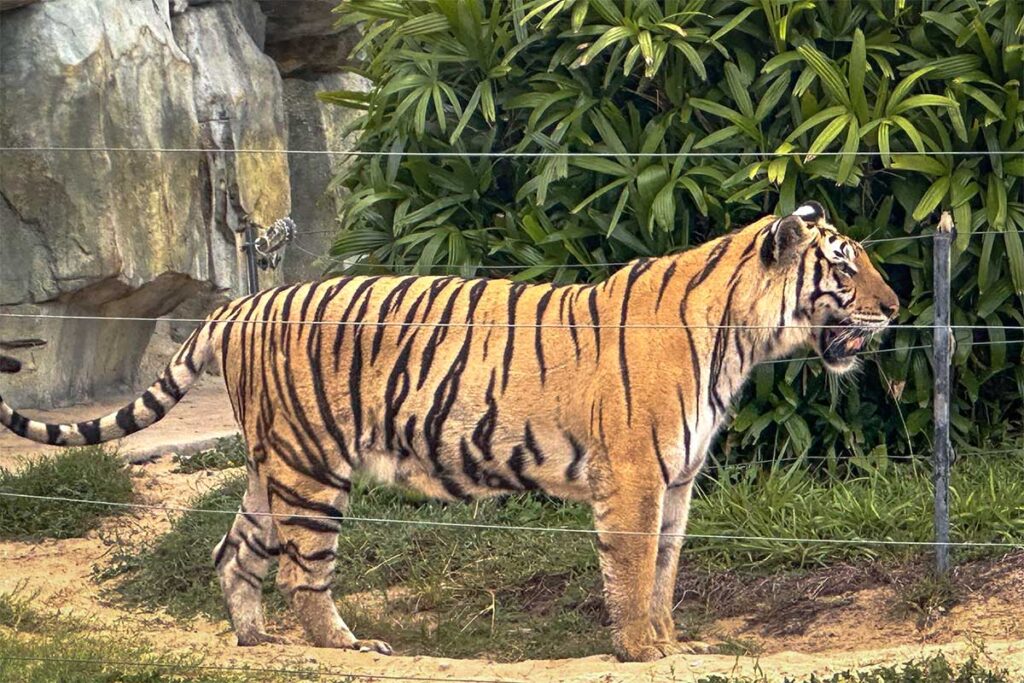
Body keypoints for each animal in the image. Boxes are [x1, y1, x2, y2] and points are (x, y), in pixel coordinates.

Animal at [0, 201, 899, 662]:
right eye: (844, 267)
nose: (895, 307)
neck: (742, 338)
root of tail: (241, 304)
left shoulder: (676, 481)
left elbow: (667, 572)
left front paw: (674, 643)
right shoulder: (637, 477)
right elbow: (634, 569)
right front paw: (640, 650)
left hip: (270, 462)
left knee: (234, 550)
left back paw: (256, 643)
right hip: (312, 465)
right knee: (302, 569)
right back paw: (347, 648)